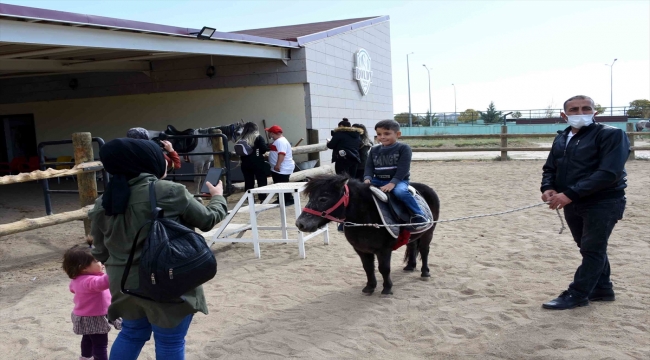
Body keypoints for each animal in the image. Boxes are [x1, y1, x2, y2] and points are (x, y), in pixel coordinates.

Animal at [294, 174, 440, 296]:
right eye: (310, 198)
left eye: (323, 199)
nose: (300, 224)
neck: (365, 217)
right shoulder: (361, 250)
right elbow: (368, 268)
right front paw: (370, 287)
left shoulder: (384, 250)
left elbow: (384, 268)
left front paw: (387, 288)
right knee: (412, 246)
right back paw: (410, 266)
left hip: (429, 232)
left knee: (424, 250)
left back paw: (425, 272)